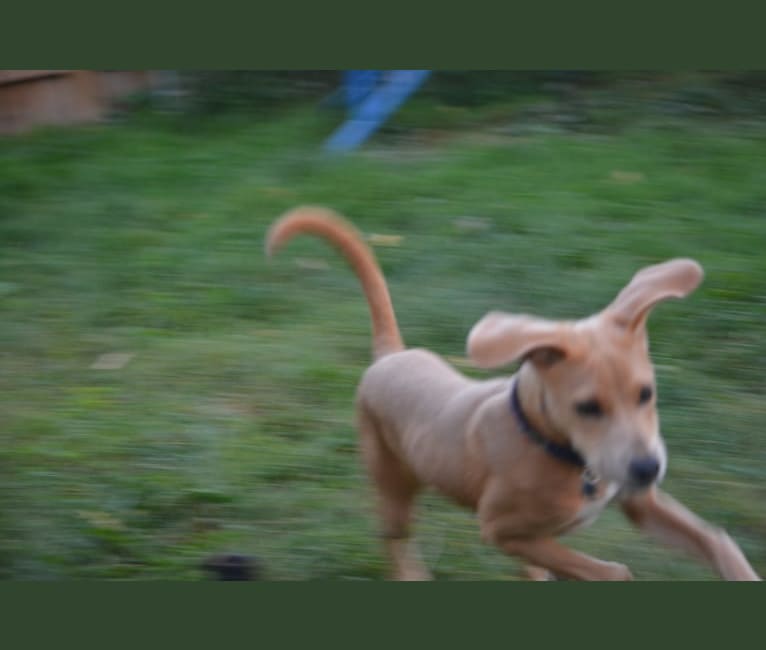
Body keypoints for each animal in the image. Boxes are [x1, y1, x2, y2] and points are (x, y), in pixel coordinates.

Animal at [266, 205, 760, 580]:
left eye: (646, 393)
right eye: (586, 407)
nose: (647, 469)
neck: (556, 449)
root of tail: (390, 355)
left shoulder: (639, 506)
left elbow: (717, 540)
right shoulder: (500, 529)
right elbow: (608, 571)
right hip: (393, 488)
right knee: (396, 543)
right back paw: (411, 575)